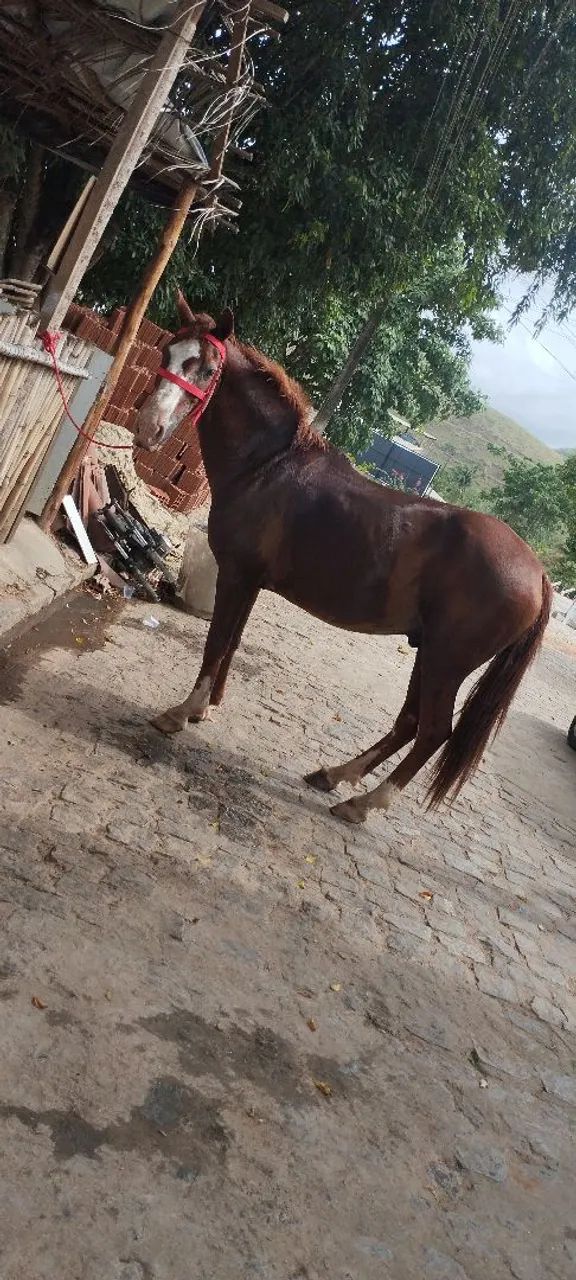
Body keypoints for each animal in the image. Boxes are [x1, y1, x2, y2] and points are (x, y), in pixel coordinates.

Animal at [133, 293, 552, 825]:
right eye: (167, 350)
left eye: (206, 368)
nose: (148, 430)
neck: (269, 467)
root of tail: (538, 573)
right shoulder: (250, 582)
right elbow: (229, 646)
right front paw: (204, 709)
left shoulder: (236, 576)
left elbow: (214, 646)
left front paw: (180, 713)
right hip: (430, 653)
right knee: (410, 722)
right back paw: (334, 775)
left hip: (447, 661)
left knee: (433, 732)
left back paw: (363, 803)